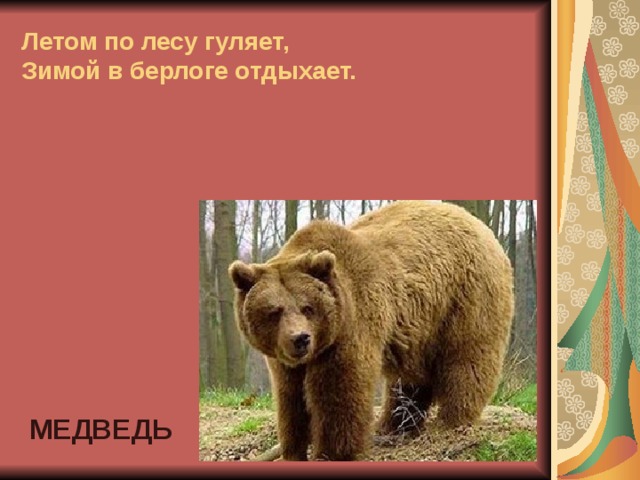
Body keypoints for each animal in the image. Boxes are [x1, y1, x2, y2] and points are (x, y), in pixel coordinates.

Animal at [228, 200, 514, 461]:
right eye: (274, 311)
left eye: (307, 307)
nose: (300, 339)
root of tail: (480, 225)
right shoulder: (285, 359)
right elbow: (290, 397)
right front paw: (293, 450)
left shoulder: (350, 327)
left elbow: (340, 391)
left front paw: (333, 452)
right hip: (419, 326)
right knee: (411, 377)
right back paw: (396, 424)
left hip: (466, 297)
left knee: (467, 359)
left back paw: (453, 420)